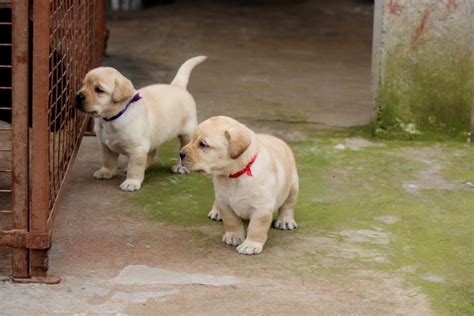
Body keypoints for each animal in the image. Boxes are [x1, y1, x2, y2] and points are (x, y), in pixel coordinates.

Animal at [75, 55, 206, 191]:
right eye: (83, 85)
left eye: (99, 90)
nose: (78, 96)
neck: (113, 117)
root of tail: (177, 86)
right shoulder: (106, 145)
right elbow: (108, 160)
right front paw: (106, 172)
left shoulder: (137, 149)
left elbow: (135, 168)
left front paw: (131, 182)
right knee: (152, 153)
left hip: (187, 133)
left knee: (183, 150)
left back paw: (180, 167)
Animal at [180, 116, 298, 254]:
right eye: (192, 140)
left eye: (203, 144)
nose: (180, 154)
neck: (234, 175)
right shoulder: (225, 203)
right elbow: (231, 221)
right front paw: (234, 236)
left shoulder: (261, 208)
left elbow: (256, 228)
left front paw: (250, 245)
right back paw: (216, 212)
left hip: (293, 186)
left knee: (288, 205)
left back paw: (285, 221)